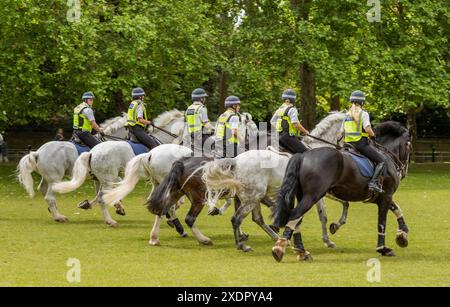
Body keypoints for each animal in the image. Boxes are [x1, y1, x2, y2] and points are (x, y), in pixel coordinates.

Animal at [270, 120, 412, 262]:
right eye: (409, 145)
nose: (403, 171)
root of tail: (302, 156)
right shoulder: (386, 196)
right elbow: (382, 222)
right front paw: (383, 248)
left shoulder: (382, 196)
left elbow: (397, 209)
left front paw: (402, 235)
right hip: (312, 196)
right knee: (295, 215)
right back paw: (280, 248)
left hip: (304, 196)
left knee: (297, 218)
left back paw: (301, 251)